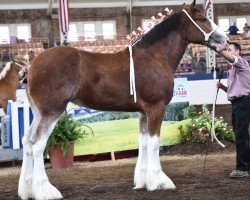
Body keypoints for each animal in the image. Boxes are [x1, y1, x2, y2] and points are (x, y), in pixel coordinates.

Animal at [18, 0, 228, 199]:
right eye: (202, 19)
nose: (225, 40)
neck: (155, 58)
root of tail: (32, 66)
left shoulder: (144, 112)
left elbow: (143, 143)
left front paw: (143, 181)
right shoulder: (156, 108)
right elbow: (154, 143)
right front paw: (159, 181)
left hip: (38, 113)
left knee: (27, 142)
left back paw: (27, 191)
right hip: (52, 112)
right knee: (37, 145)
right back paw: (46, 191)